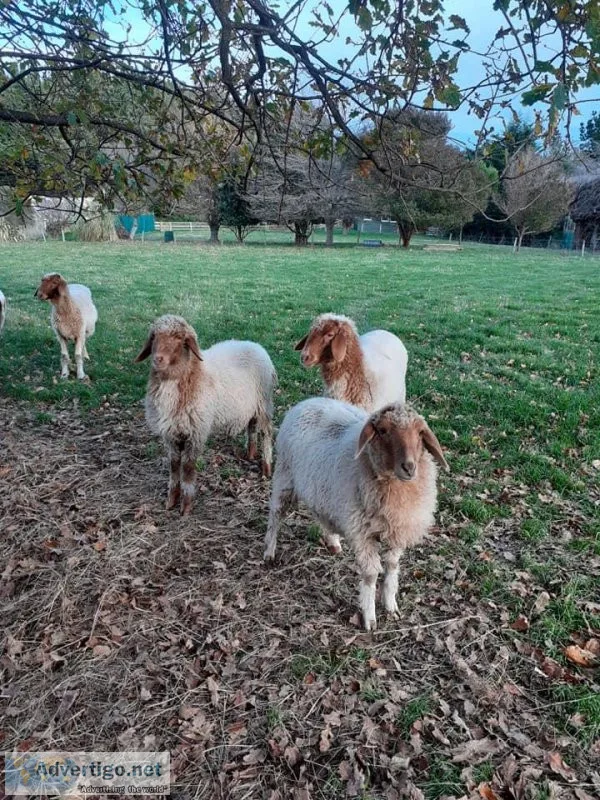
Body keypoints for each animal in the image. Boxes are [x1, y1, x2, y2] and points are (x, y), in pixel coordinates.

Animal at [135, 314, 277, 516]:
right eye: (154, 337)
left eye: (179, 338)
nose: (158, 359)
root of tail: (255, 345)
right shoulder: (171, 434)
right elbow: (174, 467)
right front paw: (171, 501)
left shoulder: (195, 432)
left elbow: (187, 469)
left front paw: (186, 507)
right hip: (250, 405)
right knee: (252, 426)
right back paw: (250, 454)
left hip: (264, 401)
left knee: (266, 433)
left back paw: (266, 467)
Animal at [264, 398, 449, 631]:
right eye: (383, 430)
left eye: (420, 432)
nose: (409, 467)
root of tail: (307, 401)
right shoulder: (363, 534)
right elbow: (370, 575)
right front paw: (370, 618)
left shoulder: (398, 528)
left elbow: (392, 566)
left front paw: (390, 606)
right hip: (285, 476)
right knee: (275, 515)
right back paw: (269, 551)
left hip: (322, 488)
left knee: (321, 513)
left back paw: (333, 543)